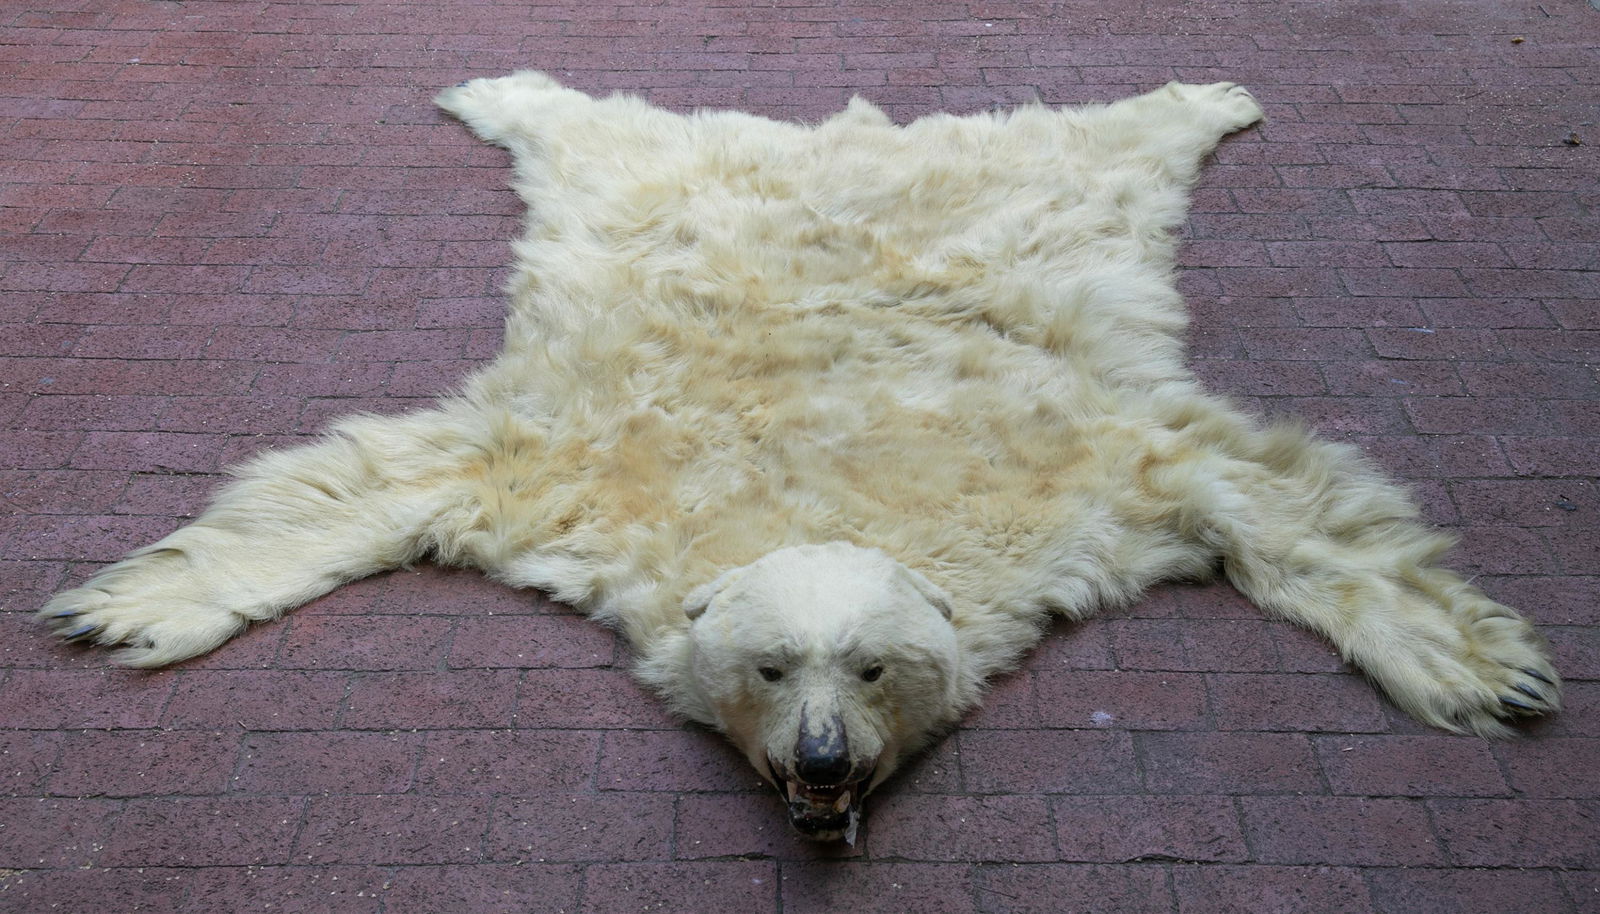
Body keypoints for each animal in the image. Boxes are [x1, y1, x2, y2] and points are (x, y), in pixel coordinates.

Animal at [40, 74, 1560, 842]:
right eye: (774, 667)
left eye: (872, 666)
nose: (823, 760)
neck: (823, 488)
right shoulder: (570, 462)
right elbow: (363, 483)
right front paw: (131, 601)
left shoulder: (1100, 469)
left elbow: (1284, 501)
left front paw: (1486, 665)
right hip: (642, 178)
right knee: (587, 120)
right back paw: (492, 80)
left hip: (1051, 192)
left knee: (1109, 136)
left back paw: (1212, 92)